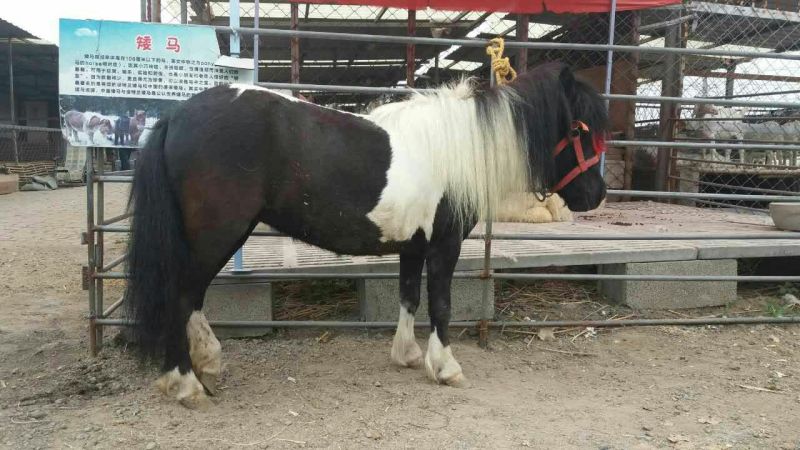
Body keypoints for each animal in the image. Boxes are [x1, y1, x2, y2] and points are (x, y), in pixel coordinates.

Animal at [124, 61, 609, 408]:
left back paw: (206, 364)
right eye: (579, 129)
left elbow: (409, 297)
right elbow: (441, 305)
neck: (457, 148)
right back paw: (186, 384)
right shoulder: (445, 244)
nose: (597, 194)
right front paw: (445, 367)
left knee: (191, 298)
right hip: (217, 234)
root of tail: (176, 116)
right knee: (182, 297)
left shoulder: (414, 246)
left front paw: (407, 355)